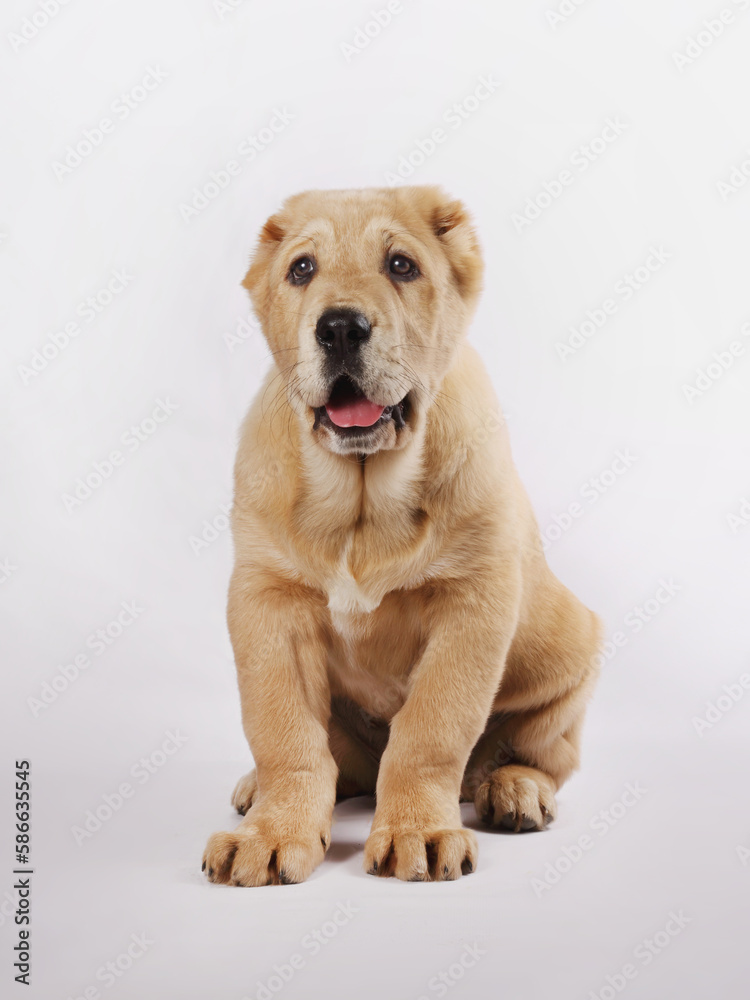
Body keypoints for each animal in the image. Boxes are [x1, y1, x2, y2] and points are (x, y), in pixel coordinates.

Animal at [203, 186, 604, 884]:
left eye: (401, 266)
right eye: (301, 269)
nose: (340, 327)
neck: (362, 501)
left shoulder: (471, 603)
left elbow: (429, 732)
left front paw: (419, 829)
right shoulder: (266, 601)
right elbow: (284, 734)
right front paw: (274, 831)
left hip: (568, 658)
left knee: (538, 753)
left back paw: (516, 789)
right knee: (338, 764)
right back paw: (262, 789)